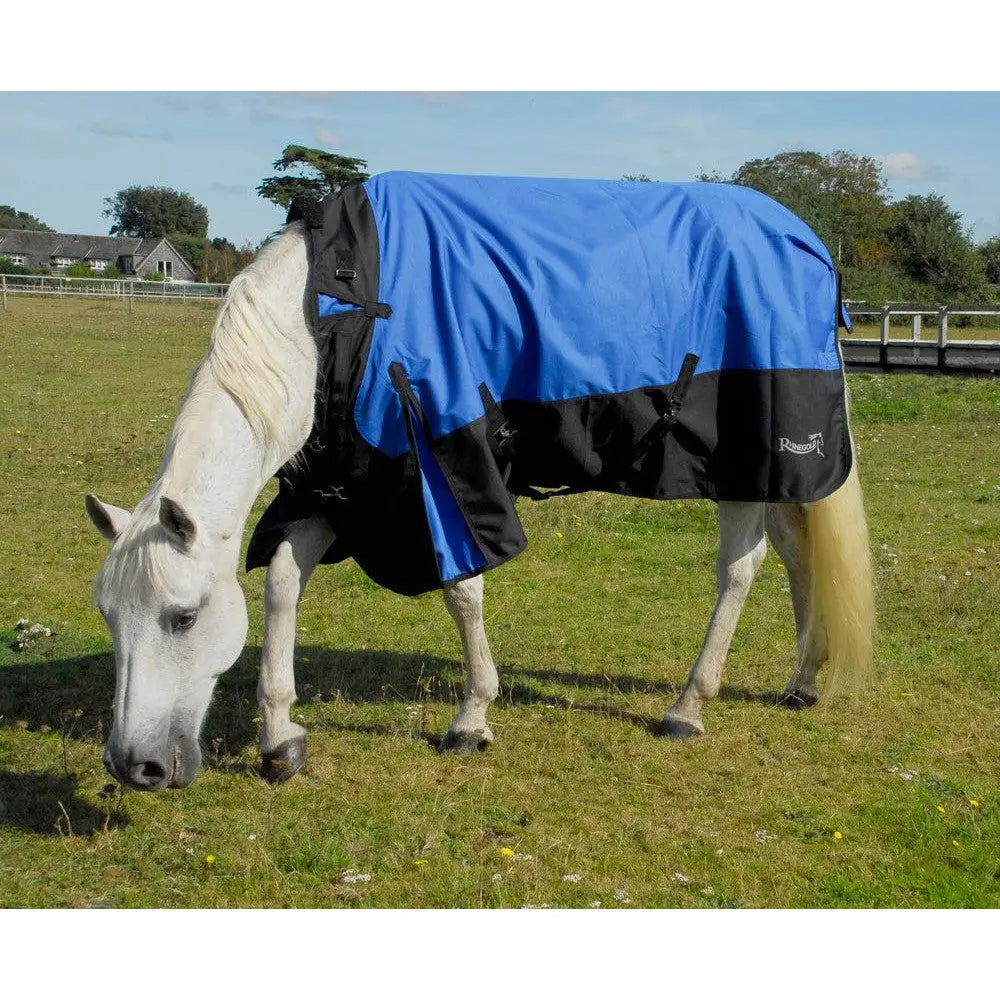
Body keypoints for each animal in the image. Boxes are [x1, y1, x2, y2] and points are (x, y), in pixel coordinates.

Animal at [85, 174, 874, 791]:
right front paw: (281, 738)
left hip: (743, 459)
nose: (135, 767)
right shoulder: (343, 487)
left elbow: (463, 591)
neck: (329, 317)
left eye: (183, 617)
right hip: (769, 472)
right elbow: (281, 581)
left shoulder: (444, 471)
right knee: (796, 554)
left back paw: (688, 706)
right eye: (110, 617)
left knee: (741, 568)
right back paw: (803, 680)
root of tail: (805, 240)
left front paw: (472, 719)